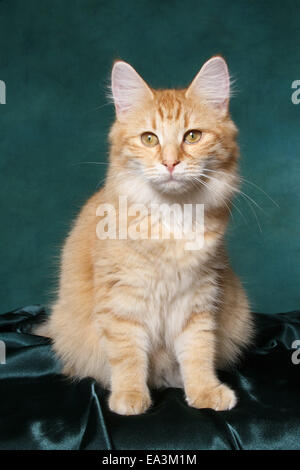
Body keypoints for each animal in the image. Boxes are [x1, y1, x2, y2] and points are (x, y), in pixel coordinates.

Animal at [36, 56, 254, 414]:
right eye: (149, 139)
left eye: (192, 136)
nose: (171, 163)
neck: (173, 215)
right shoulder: (121, 301)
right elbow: (127, 355)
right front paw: (130, 396)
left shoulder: (198, 298)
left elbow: (198, 351)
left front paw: (204, 391)